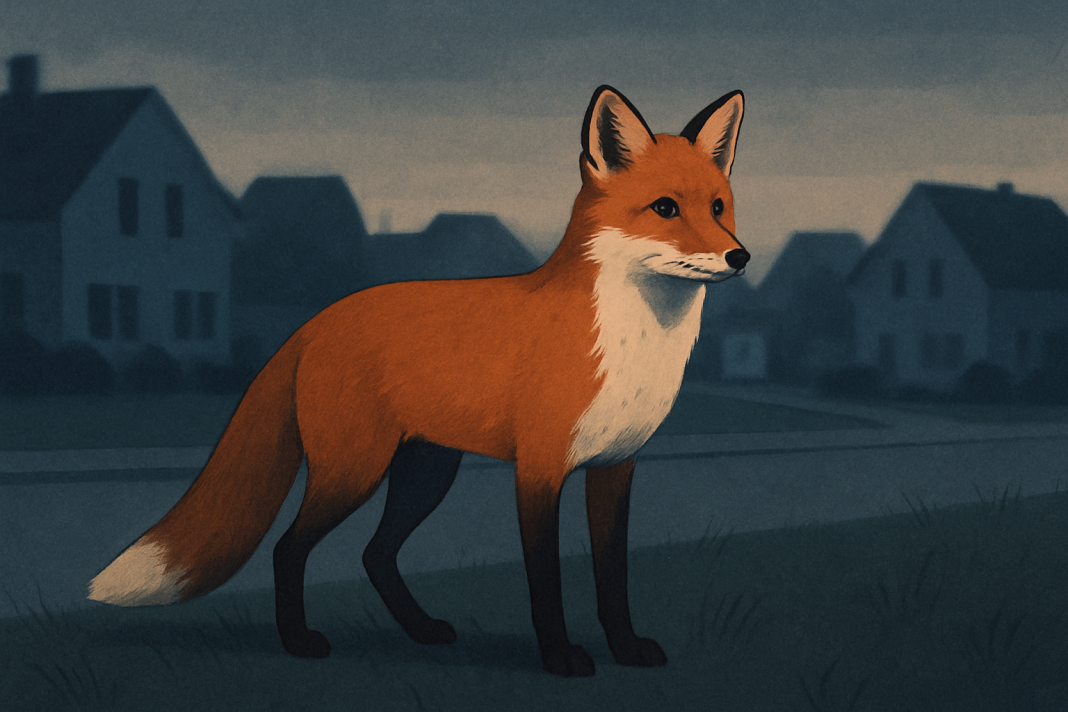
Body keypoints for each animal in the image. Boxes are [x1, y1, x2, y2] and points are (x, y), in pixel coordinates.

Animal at [88, 85, 748, 677]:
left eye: (718, 208)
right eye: (665, 208)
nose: (739, 257)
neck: (631, 341)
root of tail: (318, 321)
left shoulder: (616, 468)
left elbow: (613, 577)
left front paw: (627, 649)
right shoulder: (539, 471)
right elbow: (546, 581)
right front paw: (560, 658)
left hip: (424, 474)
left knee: (375, 554)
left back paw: (422, 630)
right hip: (353, 471)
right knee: (289, 547)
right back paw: (300, 642)